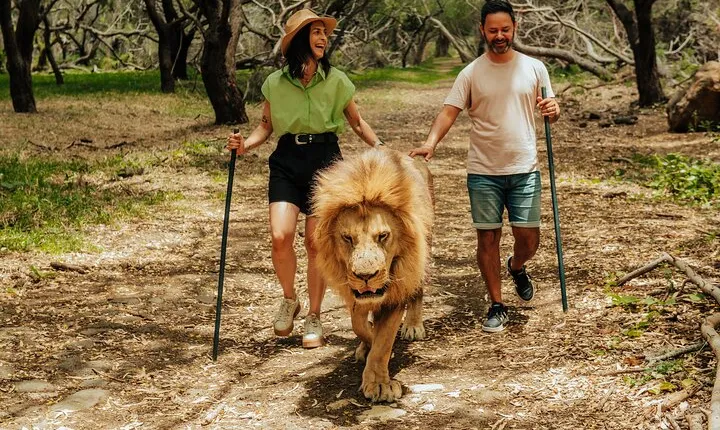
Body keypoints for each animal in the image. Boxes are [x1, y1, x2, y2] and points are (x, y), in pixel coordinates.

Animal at [311, 148, 434, 402]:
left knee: (417, 289)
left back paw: (413, 325)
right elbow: (359, 324)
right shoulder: (355, 293)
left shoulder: (396, 290)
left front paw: (379, 383)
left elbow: (383, 341)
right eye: (347, 238)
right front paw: (366, 344)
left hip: (421, 251)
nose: (366, 276)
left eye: (383, 236)